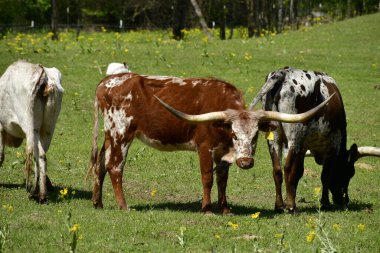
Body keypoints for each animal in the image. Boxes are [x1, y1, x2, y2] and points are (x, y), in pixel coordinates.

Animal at [0, 60, 63, 203]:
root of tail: (43, 74)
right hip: (48, 129)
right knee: (42, 155)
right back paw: (42, 190)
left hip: (31, 128)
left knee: (37, 155)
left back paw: (36, 192)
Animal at [90, 72, 332, 213]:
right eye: (235, 134)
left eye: (255, 136)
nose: (245, 162)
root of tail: (105, 83)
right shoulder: (204, 148)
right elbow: (207, 177)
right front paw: (206, 208)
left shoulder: (223, 153)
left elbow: (222, 180)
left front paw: (225, 209)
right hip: (121, 133)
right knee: (115, 167)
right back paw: (123, 206)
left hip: (109, 134)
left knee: (100, 163)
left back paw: (97, 202)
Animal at [249, 66, 380, 211]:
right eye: (349, 173)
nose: (345, 201)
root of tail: (283, 73)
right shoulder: (332, 146)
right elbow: (325, 176)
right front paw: (325, 203)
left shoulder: (303, 147)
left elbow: (299, 172)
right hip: (294, 135)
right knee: (287, 168)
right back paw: (291, 207)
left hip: (274, 137)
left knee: (277, 170)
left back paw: (279, 206)